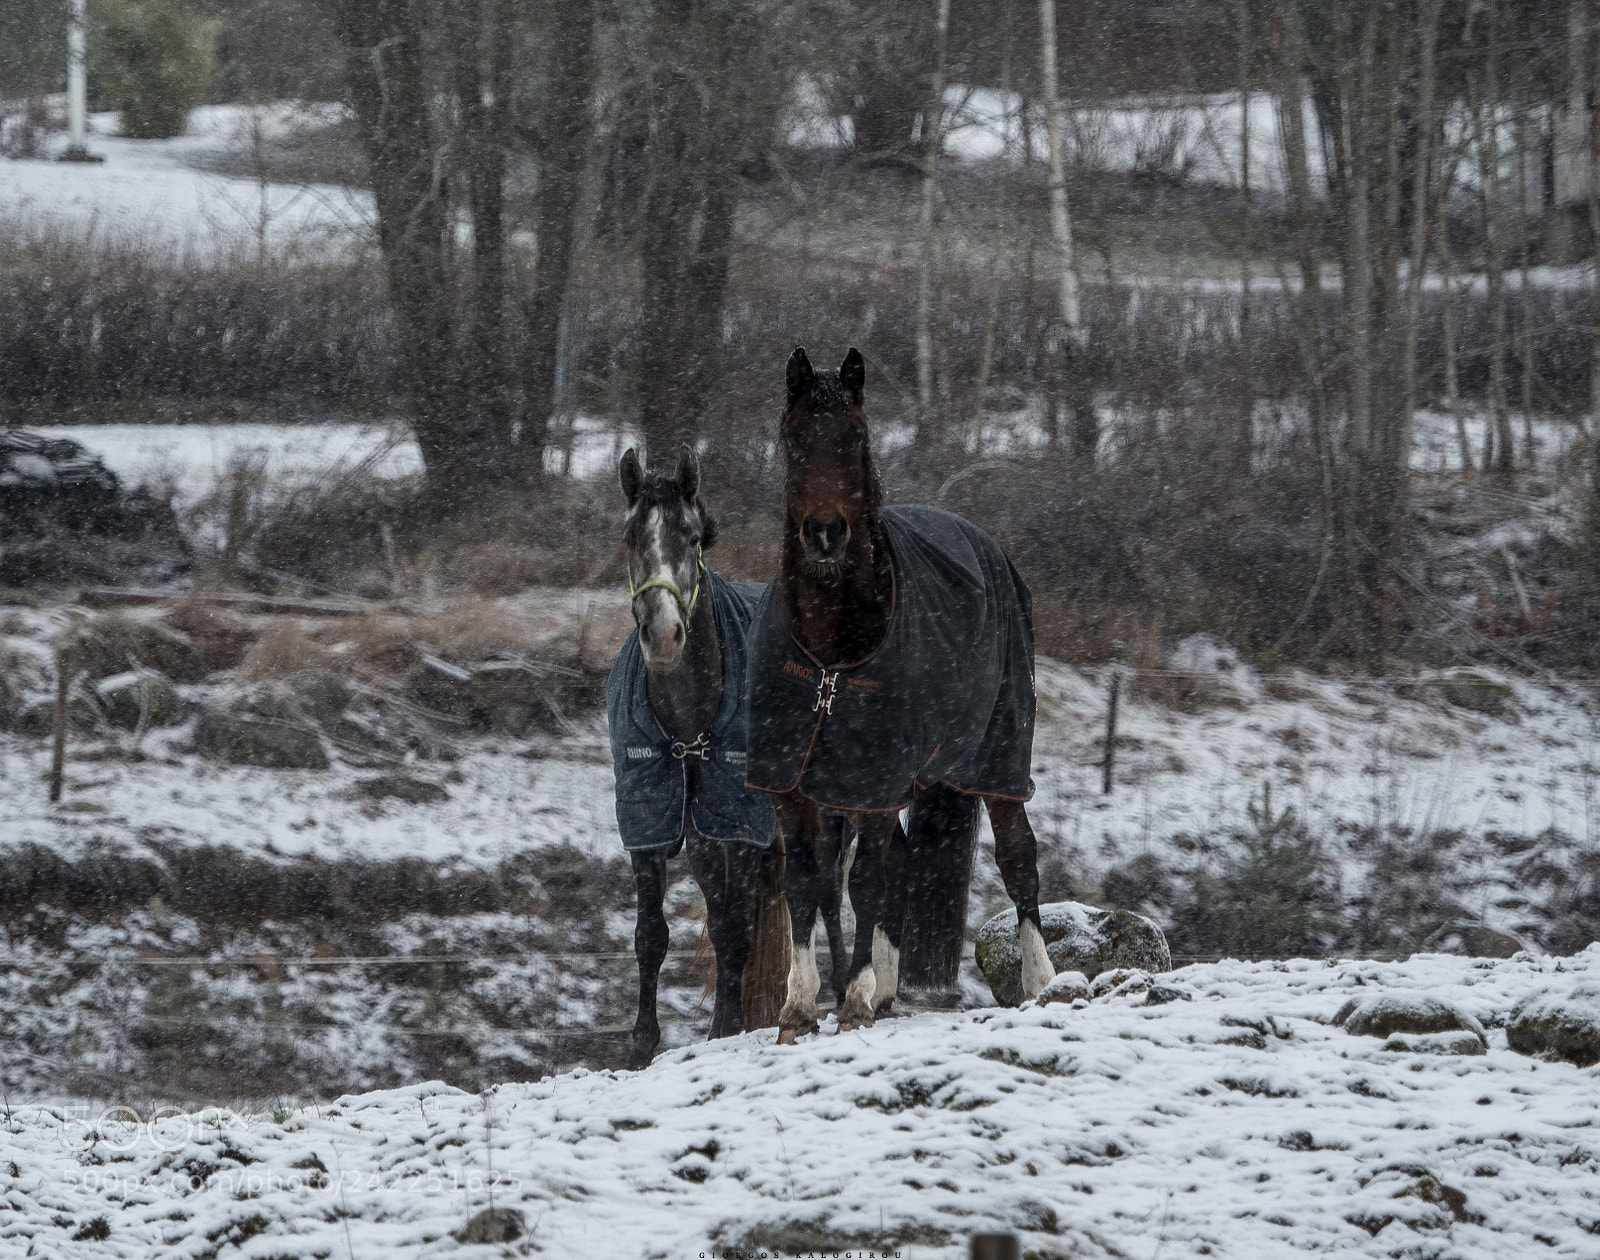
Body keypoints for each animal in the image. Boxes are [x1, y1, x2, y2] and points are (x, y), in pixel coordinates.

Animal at [608, 445, 850, 1068]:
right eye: (630, 537)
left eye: (691, 537)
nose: (663, 633)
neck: (689, 728)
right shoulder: (653, 823)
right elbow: (653, 934)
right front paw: (642, 1043)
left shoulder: (743, 828)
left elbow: (737, 931)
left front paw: (726, 1028)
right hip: (708, 844)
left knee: (826, 894)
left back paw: (843, 990)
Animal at [745, 347, 1057, 1038]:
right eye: (793, 437)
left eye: (857, 436)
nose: (825, 533)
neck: (832, 655)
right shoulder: (793, 782)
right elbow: (807, 883)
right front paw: (800, 1006)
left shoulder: (874, 779)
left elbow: (864, 880)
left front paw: (855, 997)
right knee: (906, 860)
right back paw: (890, 989)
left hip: (999, 758)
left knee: (1017, 856)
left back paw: (1041, 979)